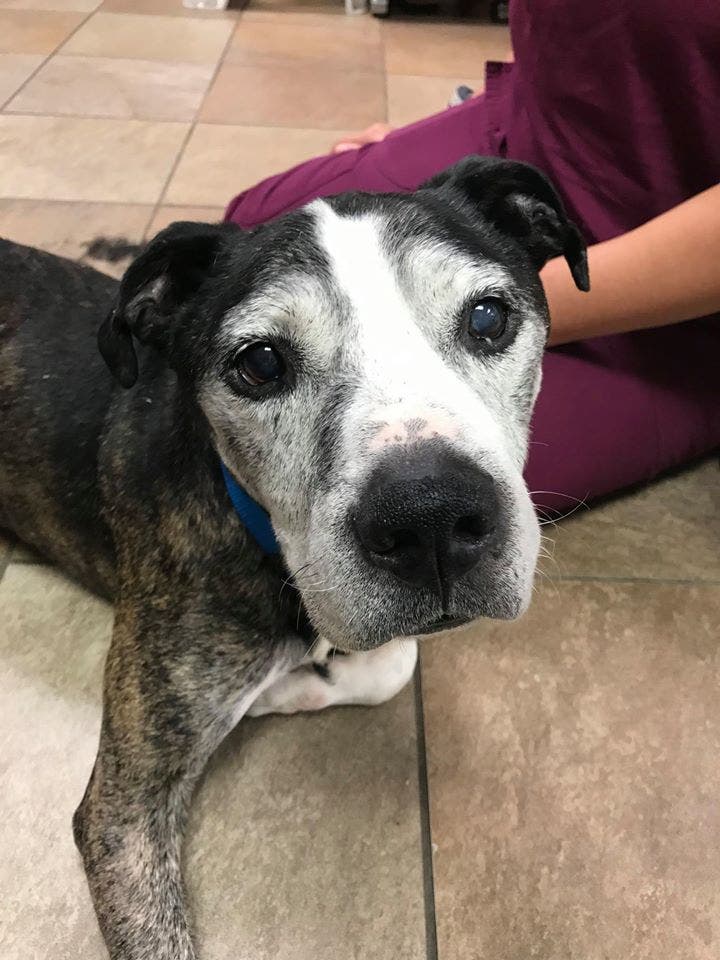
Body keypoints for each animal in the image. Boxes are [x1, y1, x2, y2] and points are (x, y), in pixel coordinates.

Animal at [0, 156, 588, 960]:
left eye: (488, 317)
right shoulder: (121, 810)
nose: (430, 517)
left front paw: (289, 685)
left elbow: (388, 663)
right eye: (260, 363)